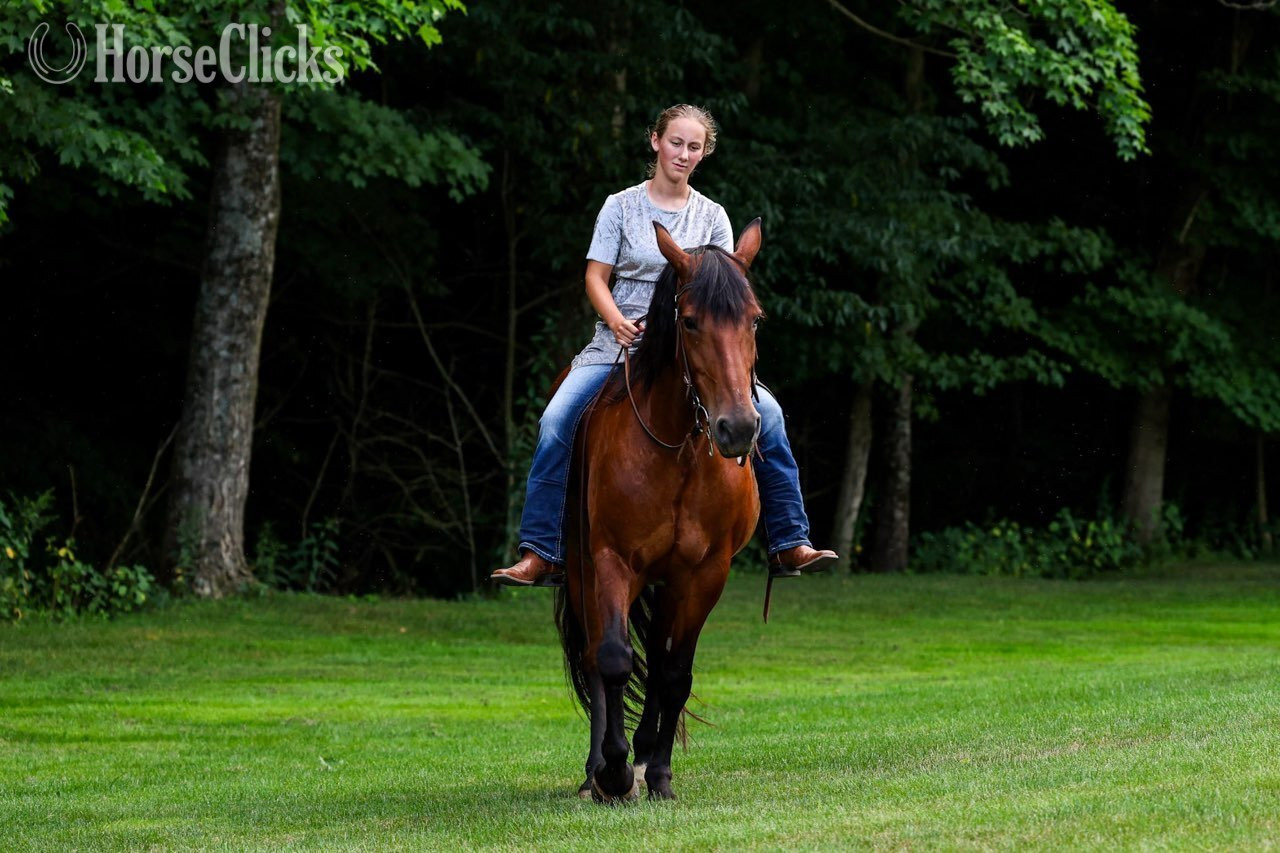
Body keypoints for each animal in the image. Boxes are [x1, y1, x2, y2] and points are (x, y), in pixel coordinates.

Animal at [555, 218, 765, 803]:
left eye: (755, 318)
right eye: (689, 321)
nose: (737, 428)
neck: (679, 451)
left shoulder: (704, 574)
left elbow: (673, 673)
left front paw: (660, 774)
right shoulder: (611, 561)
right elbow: (612, 659)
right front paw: (613, 771)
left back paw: (646, 753)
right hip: (584, 571)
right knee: (594, 656)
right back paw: (597, 772)